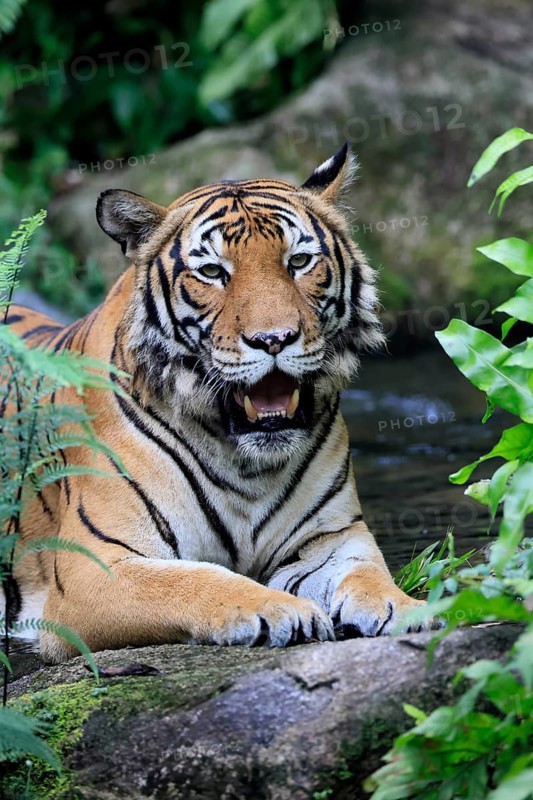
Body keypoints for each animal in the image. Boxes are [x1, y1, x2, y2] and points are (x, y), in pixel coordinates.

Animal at [4, 144, 436, 663]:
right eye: (213, 272)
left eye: (299, 261)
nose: (274, 339)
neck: (245, 462)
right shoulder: (96, 565)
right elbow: (195, 580)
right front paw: (279, 608)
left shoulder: (330, 538)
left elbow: (368, 573)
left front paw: (408, 608)